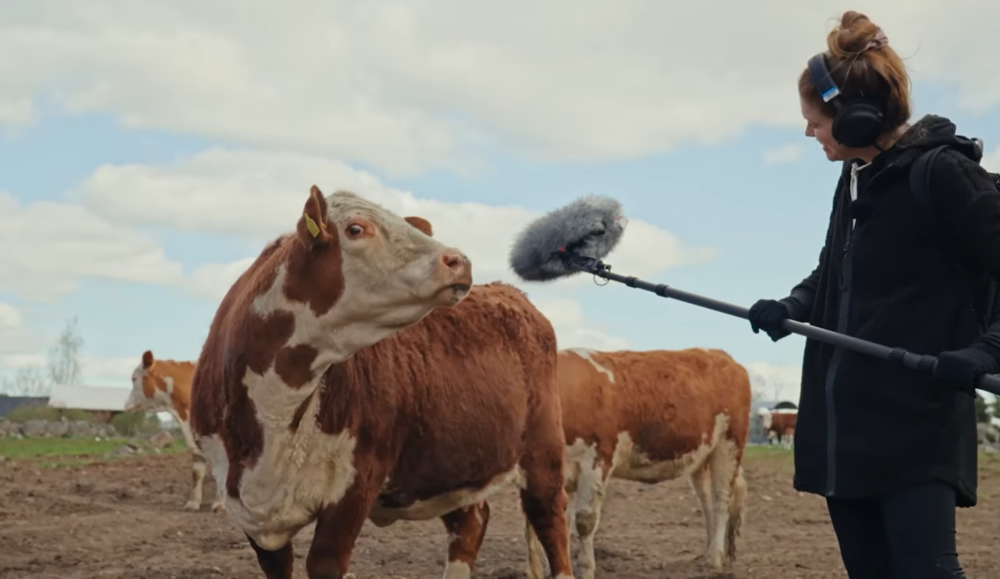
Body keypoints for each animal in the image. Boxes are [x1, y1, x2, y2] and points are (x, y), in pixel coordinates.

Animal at [189, 186, 574, 579]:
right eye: (356, 229)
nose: (459, 260)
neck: (273, 419)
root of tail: (511, 292)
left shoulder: (355, 486)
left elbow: (325, 561)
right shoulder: (249, 513)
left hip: (542, 450)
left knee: (549, 518)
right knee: (470, 524)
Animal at [518, 347, 751, 578]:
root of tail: (724, 356)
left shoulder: (597, 459)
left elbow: (585, 520)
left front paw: (585, 568)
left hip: (729, 444)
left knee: (721, 499)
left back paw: (715, 558)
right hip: (701, 455)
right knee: (705, 500)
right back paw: (708, 552)